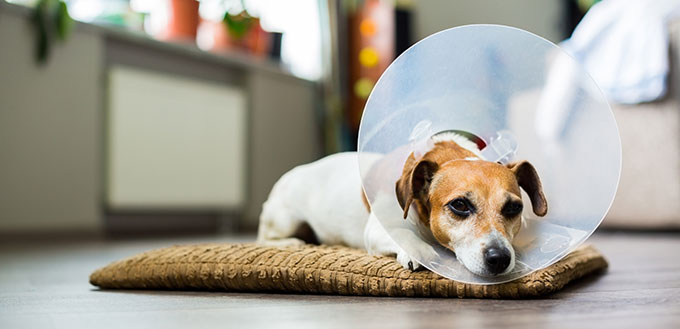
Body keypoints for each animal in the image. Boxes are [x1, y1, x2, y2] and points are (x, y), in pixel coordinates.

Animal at [256, 132, 548, 276]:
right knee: (265, 238)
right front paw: (420, 252)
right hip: (285, 219)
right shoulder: (379, 228)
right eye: (460, 205)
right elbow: (404, 236)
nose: (500, 259)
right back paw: (293, 242)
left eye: (513, 208)